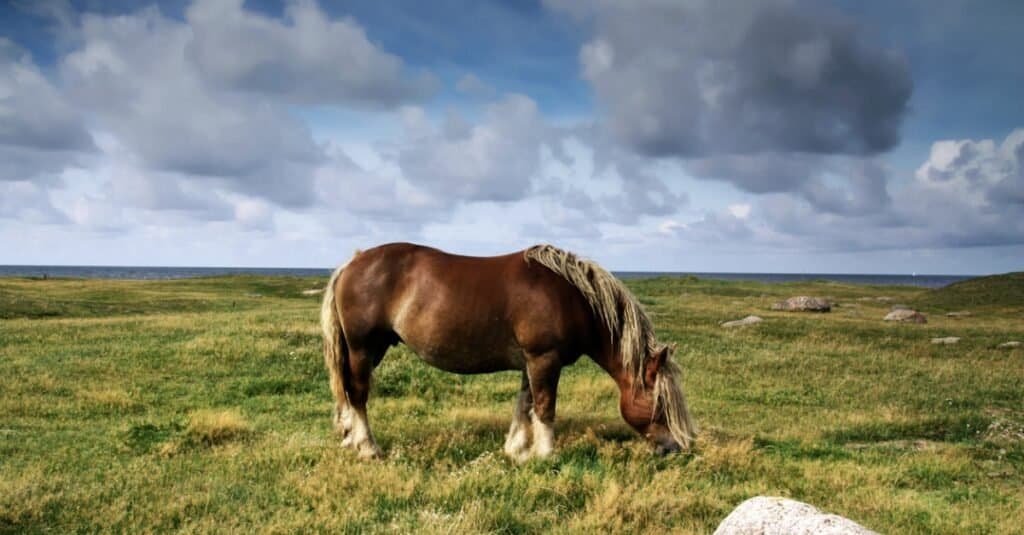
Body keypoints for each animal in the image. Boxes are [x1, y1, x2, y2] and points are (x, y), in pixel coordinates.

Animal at [319, 241, 696, 457]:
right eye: (660, 403)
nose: (675, 448)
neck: (572, 298)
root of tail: (353, 263)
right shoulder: (545, 359)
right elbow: (544, 407)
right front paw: (545, 454)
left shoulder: (532, 362)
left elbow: (524, 404)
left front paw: (516, 449)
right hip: (362, 348)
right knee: (359, 394)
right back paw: (367, 447)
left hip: (372, 349)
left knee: (349, 393)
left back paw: (350, 438)